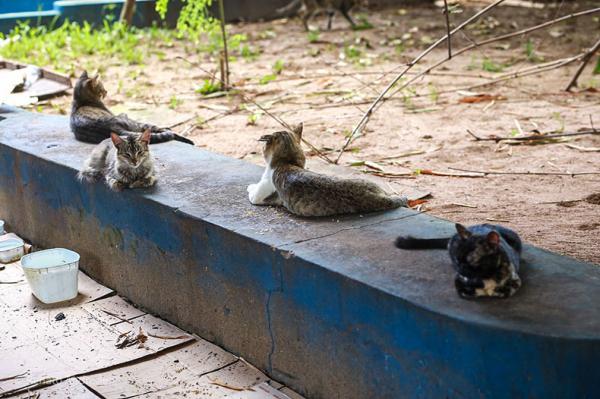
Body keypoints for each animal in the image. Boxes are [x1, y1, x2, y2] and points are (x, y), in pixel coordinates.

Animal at [396, 223, 524, 298]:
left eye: (471, 263)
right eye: (457, 260)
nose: (459, 269)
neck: (486, 276)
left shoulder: (515, 281)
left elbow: (505, 291)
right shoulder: (459, 283)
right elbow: (468, 292)